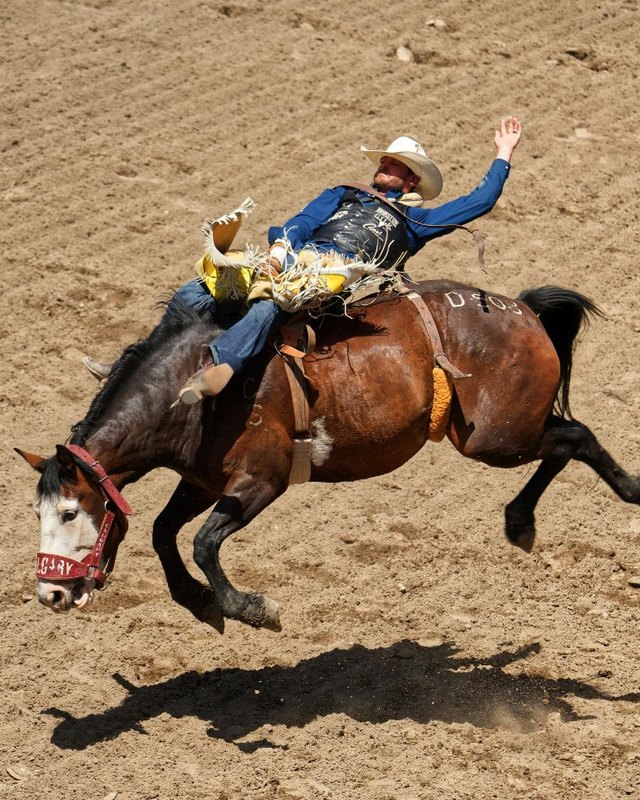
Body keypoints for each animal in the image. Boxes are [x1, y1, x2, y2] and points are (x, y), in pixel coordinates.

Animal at [16, 280, 640, 633]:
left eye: (69, 512)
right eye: (37, 513)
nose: (50, 594)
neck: (195, 391)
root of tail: (522, 310)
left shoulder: (260, 481)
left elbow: (203, 542)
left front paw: (251, 608)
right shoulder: (201, 481)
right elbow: (165, 532)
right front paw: (196, 601)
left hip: (496, 439)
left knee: (576, 437)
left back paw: (577, 504)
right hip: (500, 434)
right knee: (569, 438)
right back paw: (523, 521)